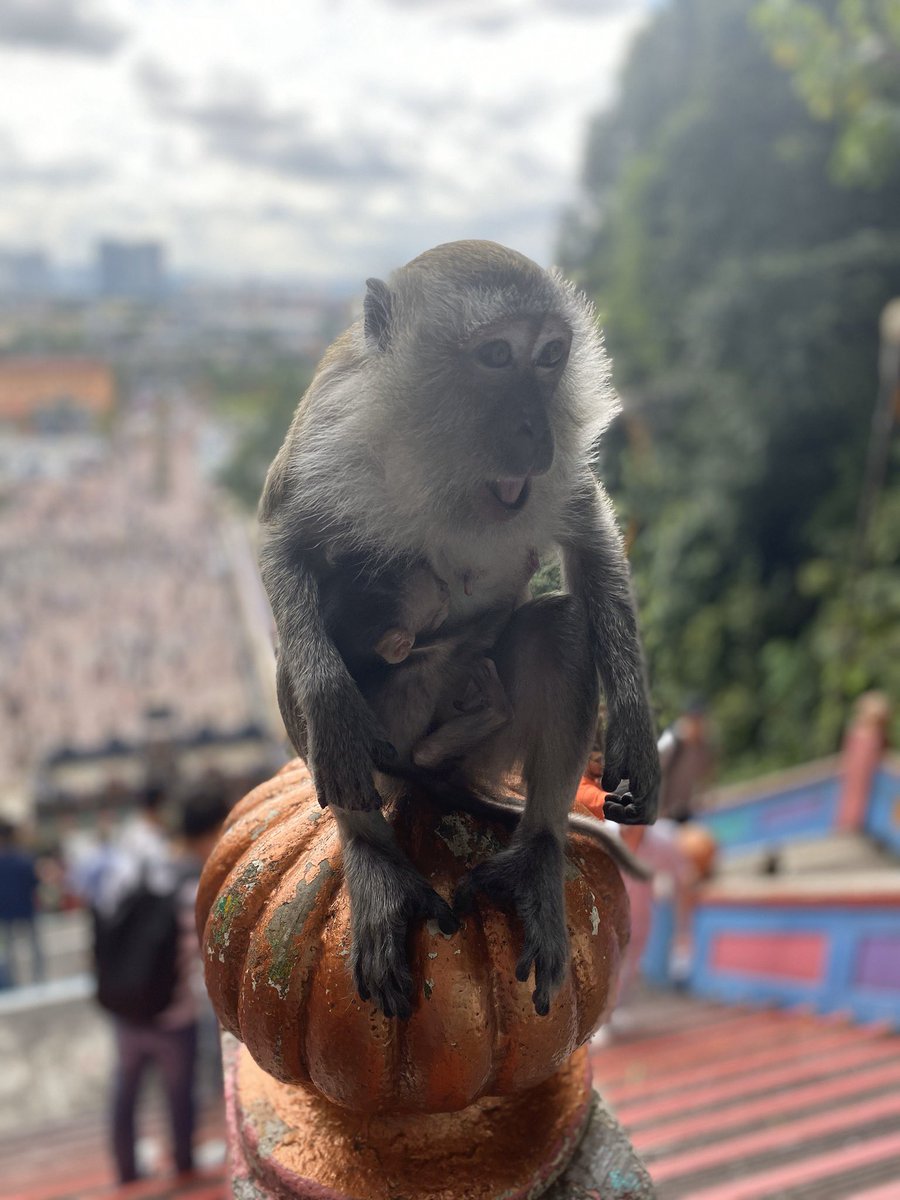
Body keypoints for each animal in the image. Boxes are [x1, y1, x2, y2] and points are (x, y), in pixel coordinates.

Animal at [259, 240, 660, 1019]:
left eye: (551, 355)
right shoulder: (329, 430)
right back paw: (373, 853)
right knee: (307, 673)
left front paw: (633, 717)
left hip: (486, 748)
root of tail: (439, 772)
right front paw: (331, 701)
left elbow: (589, 540)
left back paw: (537, 850)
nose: (535, 429)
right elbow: (281, 543)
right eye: (497, 355)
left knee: (560, 628)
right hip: (392, 756)